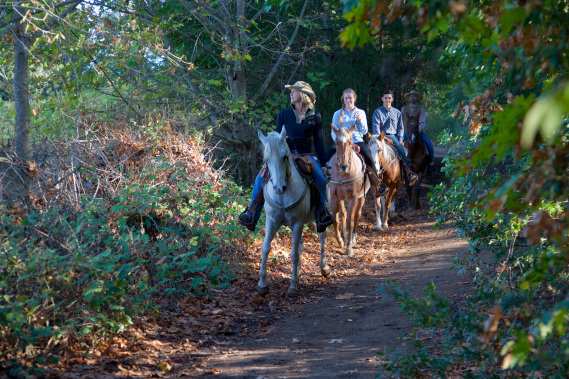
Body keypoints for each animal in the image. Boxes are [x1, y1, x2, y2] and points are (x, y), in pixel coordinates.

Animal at [256, 127, 330, 296]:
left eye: (284, 157)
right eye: (266, 159)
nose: (279, 188)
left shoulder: (297, 223)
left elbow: (294, 254)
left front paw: (293, 285)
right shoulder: (272, 221)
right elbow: (265, 248)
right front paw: (262, 284)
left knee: (322, 238)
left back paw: (324, 268)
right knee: (301, 243)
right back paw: (300, 270)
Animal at [328, 126, 368, 256]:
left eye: (350, 142)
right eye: (336, 142)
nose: (343, 166)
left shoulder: (353, 197)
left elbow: (351, 221)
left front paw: (349, 248)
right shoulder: (334, 196)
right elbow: (335, 220)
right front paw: (340, 241)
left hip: (361, 198)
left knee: (357, 214)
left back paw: (353, 239)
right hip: (341, 198)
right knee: (343, 214)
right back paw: (345, 239)